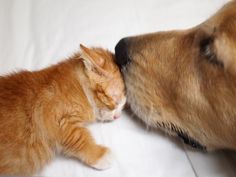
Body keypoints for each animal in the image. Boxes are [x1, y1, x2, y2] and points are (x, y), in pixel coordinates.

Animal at [0, 44, 125, 176]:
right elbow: (79, 138)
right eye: (115, 100)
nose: (118, 116)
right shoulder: (54, 118)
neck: (80, 86)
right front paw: (99, 155)